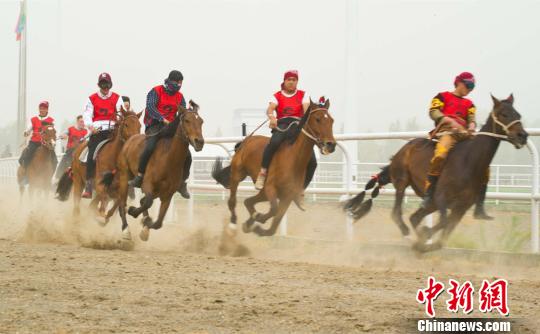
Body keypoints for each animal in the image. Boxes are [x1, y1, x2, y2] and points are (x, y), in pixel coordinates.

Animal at [106, 100, 204, 241]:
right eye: (187, 120)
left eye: (201, 121)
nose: (199, 142)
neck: (169, 159)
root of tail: (129, 140)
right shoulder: (147, 184)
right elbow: (147, 202)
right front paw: (134, 212)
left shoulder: (167, 194)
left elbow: (158, 222)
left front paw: (145, 226)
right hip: (124, 177)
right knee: (122, 204)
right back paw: (126, 230)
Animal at [212, 98, 336, 236]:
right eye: (317, 119)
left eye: (331, 120)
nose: (330, 144)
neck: (292, 159)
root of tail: (246, 140)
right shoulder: (271, 188)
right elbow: (274, 210)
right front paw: (259, 219)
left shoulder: (287, 197)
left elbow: (274, 224)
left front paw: (257, 225)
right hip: (237, 175)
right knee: (233, 201)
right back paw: (233, 224)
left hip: (262, 192)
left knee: (248, 201)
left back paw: (250, 221)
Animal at [346, 92, 528, 252]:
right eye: (504, 114)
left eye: (518, 114)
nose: (522, 135)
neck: (468, 162)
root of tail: (403, 149)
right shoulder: (441, 197)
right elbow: (444, 222)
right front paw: (424, 235)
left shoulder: (462, 206)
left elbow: (443, 235)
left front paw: (425, 241)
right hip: (402, 180)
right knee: (397, 213)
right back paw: (408, 235)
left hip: (430, 203)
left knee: (414, 217)